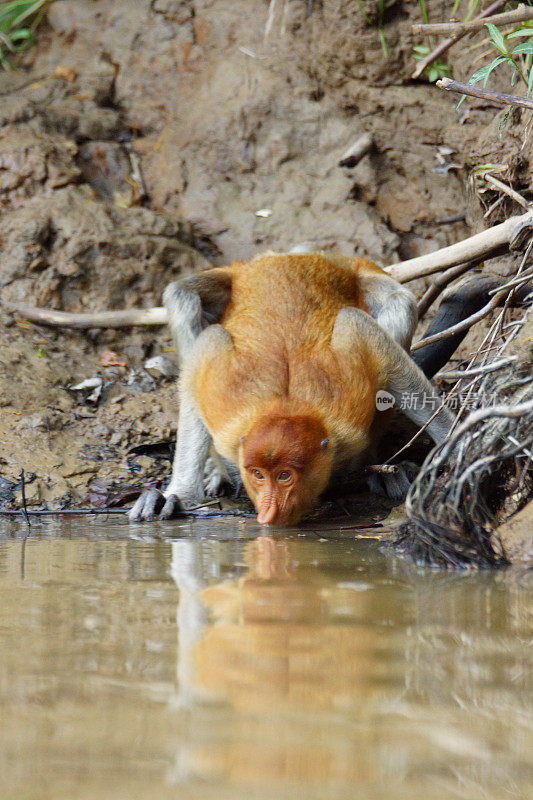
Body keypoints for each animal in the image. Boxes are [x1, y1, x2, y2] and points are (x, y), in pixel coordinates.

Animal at [128, 252, 454, 524]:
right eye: (258, 475)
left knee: (400, 303)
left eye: (285, 476)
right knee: (182, 295)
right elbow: (202, 357)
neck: (286, 406)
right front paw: (177, 496)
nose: (271, 509)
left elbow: (384, 353)